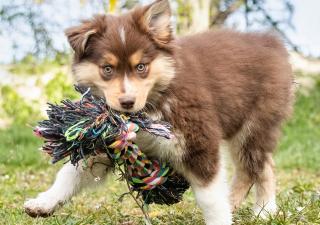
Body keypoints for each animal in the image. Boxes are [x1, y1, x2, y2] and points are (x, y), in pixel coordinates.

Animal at [24, 0, 296, 223]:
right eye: (107, 69)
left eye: (141, 67)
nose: (127, 102)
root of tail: (271, 42)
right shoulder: (105, 140)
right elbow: (70, 173)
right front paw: (43, 203)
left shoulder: (198, 140)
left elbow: (210, 198)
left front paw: (221, 217)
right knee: (253, 167)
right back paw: (237, 203)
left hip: (254, 125)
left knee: (260, 166)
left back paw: (264, 210)